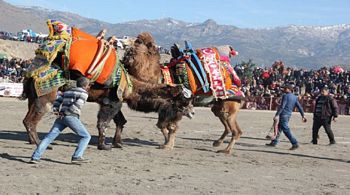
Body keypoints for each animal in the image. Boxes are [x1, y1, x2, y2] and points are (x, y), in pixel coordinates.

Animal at [21, 19, 194, 150]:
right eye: (184, 99)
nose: (192, 111)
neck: (131, 85)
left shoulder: (111, 100)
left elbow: (120, 121)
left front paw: (118, 143)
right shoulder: (111, 101)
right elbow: (103, 123)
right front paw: (104, 145)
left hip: (32, 94)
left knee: (28, 116)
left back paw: (32, 141)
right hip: (46, 94)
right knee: (33, 118)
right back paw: (39, 144)